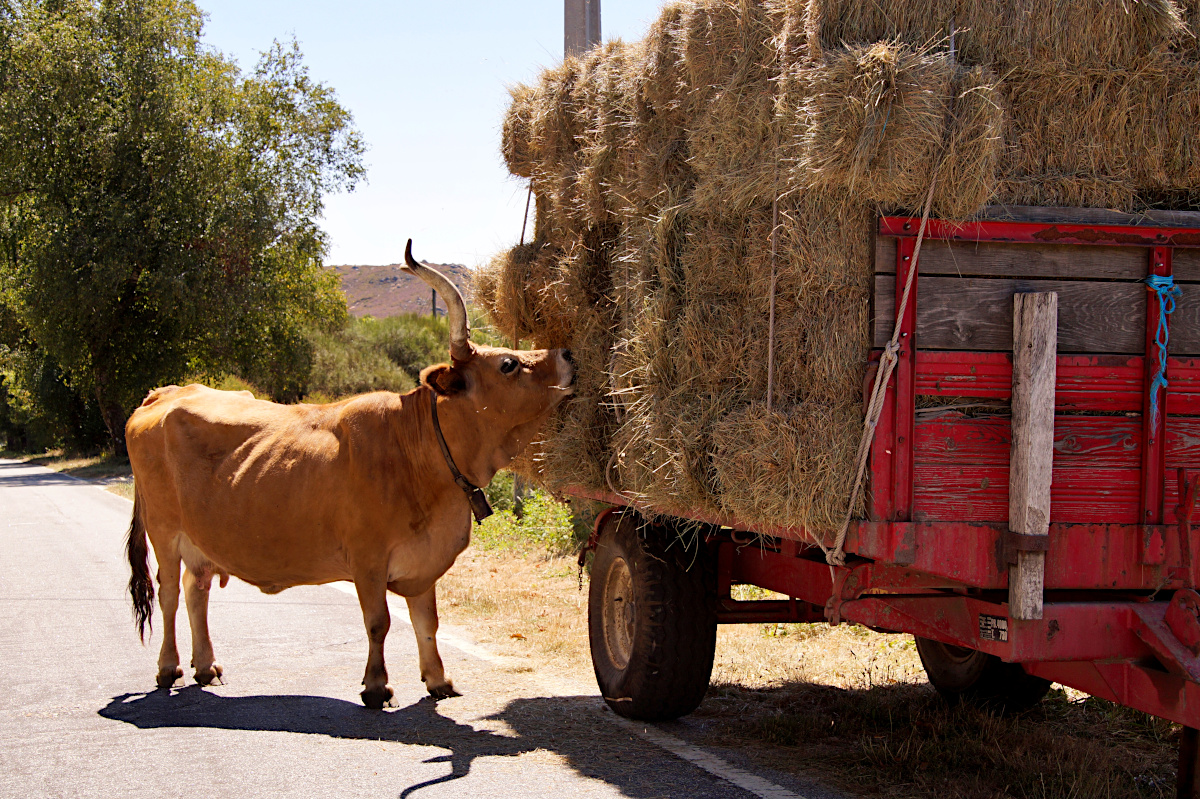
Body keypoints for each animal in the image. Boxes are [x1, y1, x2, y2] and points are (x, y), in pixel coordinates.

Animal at [124, 239, 573, 705]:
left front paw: (438, 679)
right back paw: (168, 666)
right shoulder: (367, 559)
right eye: (508, 364)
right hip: (163, 531)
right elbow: (379, 622)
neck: (420, 451)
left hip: (199, 539)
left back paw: (206, 665)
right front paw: (376, 685)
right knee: (169, 593)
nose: (568, 353)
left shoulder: (423, 564)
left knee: (197, 589)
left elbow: (426, 622)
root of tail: (165, 392)